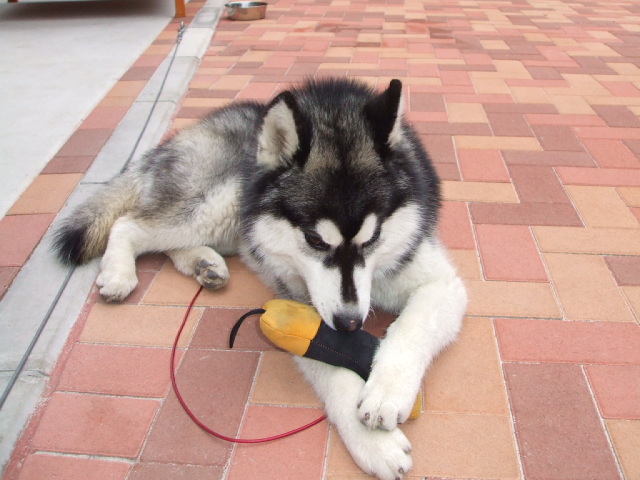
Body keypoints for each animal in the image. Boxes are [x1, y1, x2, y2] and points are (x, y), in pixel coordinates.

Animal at [53, 77, 464, 478]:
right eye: (315, 241)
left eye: (373, 237)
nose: (349, 323)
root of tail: (207, 122)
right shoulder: (299, 306)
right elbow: (332, 364)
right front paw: (374, 443)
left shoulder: (440, 282)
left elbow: (411, 329)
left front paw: (386, 394)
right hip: (222, 202)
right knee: (129, 223)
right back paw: (119, 272)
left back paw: (204, 264)